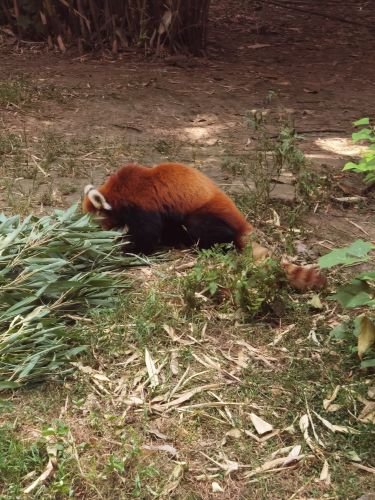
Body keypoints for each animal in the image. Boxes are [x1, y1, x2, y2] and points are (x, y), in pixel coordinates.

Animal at [81, 162, 326, 292]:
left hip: (209, 216)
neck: (120, 191)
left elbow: (146, 235)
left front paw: (124, 250)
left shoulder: (143, 204)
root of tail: (242, 224)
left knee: (205, 228)